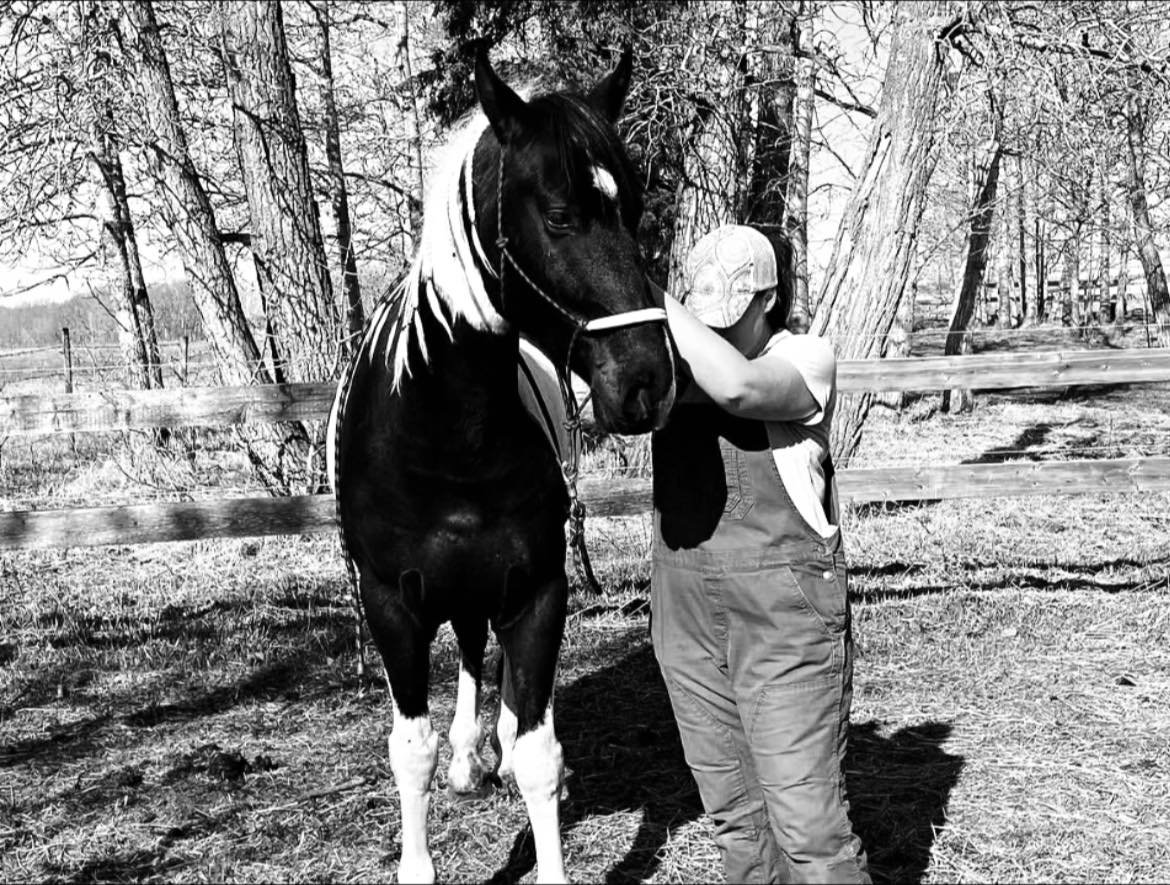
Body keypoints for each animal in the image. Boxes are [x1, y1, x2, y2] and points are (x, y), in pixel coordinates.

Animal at [328, 48, 676, 883]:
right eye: (559, 215)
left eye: (635, 209)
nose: (649, 382)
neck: (447, 434)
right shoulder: (391, 603)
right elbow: (410, 749)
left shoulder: (537, 590)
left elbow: (540, 751)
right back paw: (466, 757)